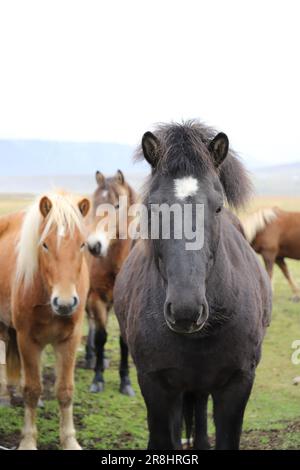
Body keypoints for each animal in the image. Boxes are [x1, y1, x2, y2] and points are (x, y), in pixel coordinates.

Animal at [0, 192, 89, 452]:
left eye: (82, 244)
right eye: (45, 244)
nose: (65, 303)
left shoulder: (70, 340)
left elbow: (65, 390)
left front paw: (70, 440)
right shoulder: (27, 340)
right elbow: (31, 389)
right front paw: (28, 441)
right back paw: (4, 396)